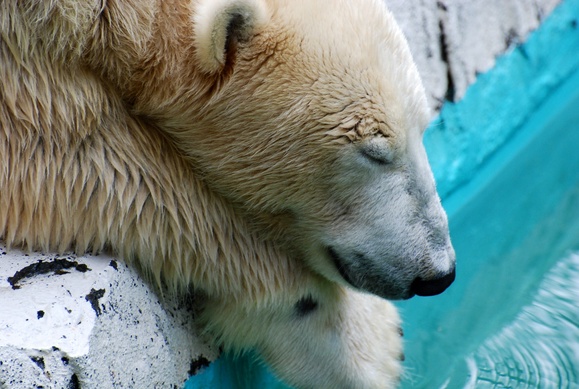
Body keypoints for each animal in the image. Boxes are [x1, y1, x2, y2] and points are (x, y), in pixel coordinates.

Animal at [2, 0, 458, 386]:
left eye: (422, 127)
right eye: (373, 152)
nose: (439, 273)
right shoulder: (24, 67)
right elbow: (95, 160)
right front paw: (371, 345)